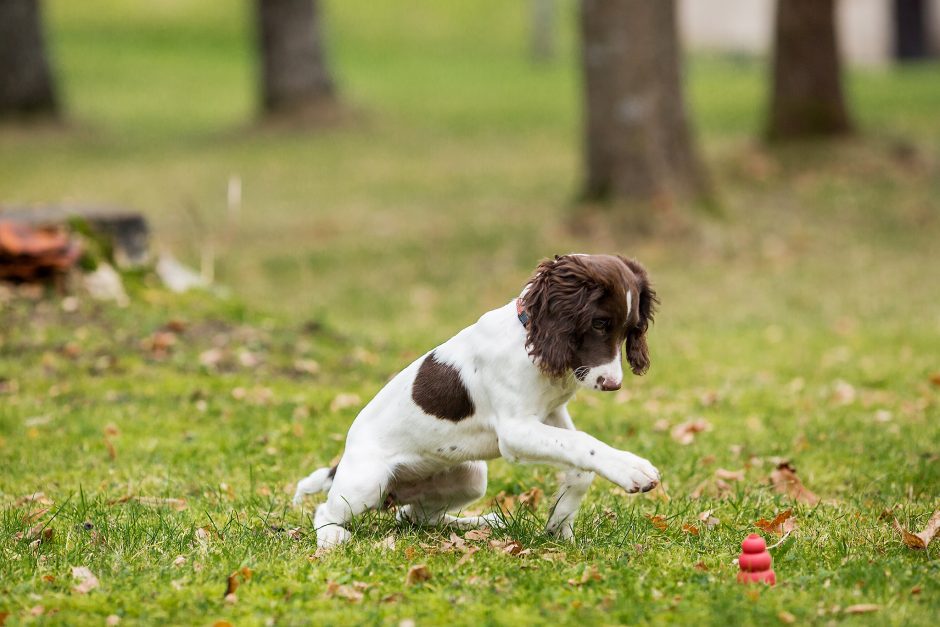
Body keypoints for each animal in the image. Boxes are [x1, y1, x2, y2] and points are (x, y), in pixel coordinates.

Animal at [294, 253, 660, 548]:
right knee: (325, 510)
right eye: (599, 323)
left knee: (413, 517)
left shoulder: (550, 413)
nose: (612, 384)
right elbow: (583, 443)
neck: (531, 338)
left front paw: (560, 524)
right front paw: (632, 469)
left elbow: (579, 462)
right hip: (366, 484)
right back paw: (332, 537)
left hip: (470, 477)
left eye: (631, 329)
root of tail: (343, 459)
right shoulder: (516, 431)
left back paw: (483, 523)